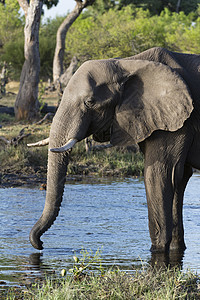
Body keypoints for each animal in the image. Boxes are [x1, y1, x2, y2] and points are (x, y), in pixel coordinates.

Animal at [28, 47, 200, 253]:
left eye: (90, 102)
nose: (40, 245)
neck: (127, 63)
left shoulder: (179, 120)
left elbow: (160, 174)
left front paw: (157, 251)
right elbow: (180, 177)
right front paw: (175, 249)